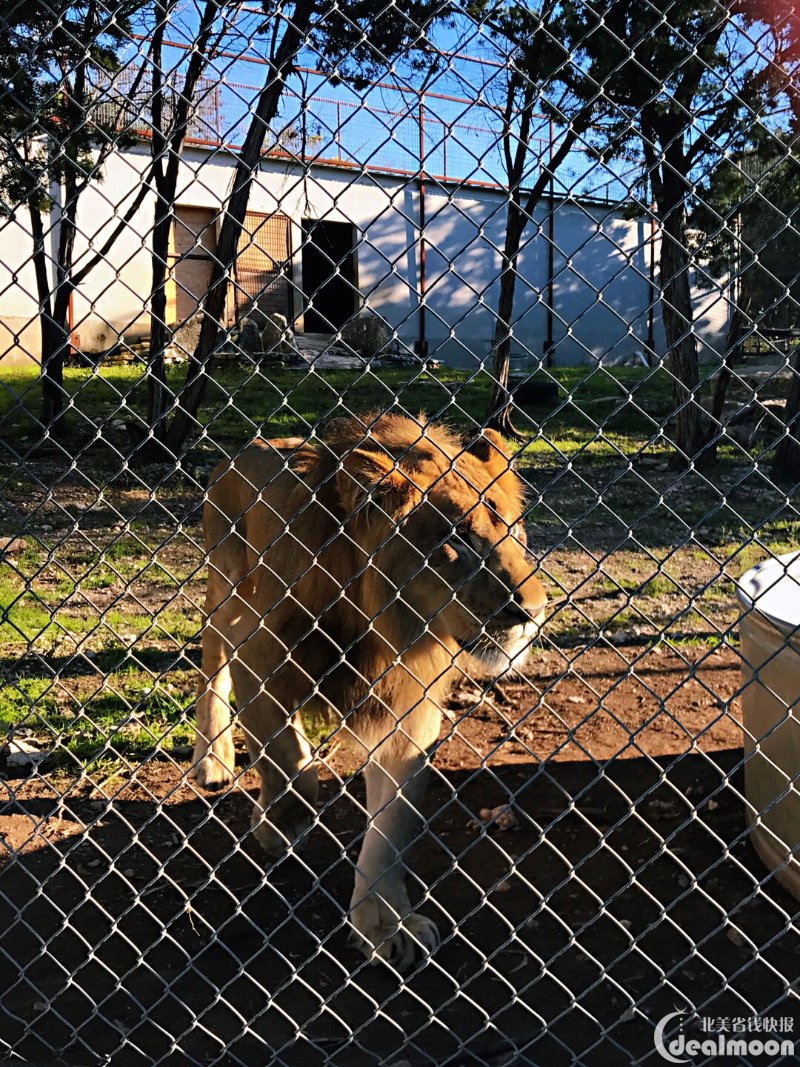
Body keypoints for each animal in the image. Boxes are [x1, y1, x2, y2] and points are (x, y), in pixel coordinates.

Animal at [190, 411, 550, 973]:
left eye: (513, 530)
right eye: (457, 539)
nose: (533, 611)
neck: (385, 626)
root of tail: (242, 449)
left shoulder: (410, 710)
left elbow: (391, 829)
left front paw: (385, 926)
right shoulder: (260, 655)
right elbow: (291, 765)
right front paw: (277, 825)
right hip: (227, 583)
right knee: (213, 656)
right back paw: (212, 758)